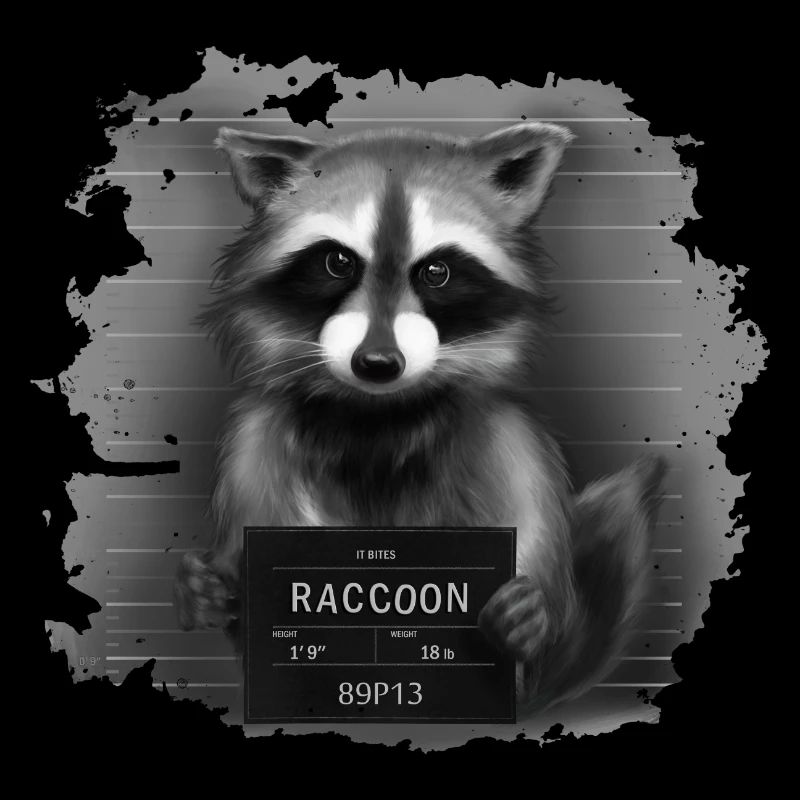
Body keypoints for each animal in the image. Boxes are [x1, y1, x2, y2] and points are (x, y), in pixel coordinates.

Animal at [174, 122, 666, 714]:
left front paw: (532, 623)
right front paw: (216, 593)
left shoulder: (510, 446)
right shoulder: (254, 447)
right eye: (338, 262)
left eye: (436, 271)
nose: (378, 363)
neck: (378, 413)